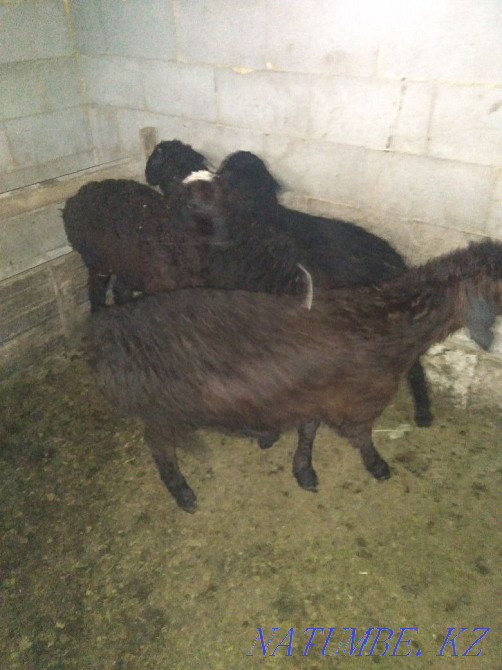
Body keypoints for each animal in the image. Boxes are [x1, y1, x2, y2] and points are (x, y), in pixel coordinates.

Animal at [87, 239, 502, 512]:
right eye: (497, 283)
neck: (390, 320)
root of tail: (105, 330)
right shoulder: (354, 403)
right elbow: (361, 438)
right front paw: (377, 466)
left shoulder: (313, 395)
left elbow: (307, 432)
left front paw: (303, 471)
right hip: (161, 410)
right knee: (159, 447)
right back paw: (182, 493)